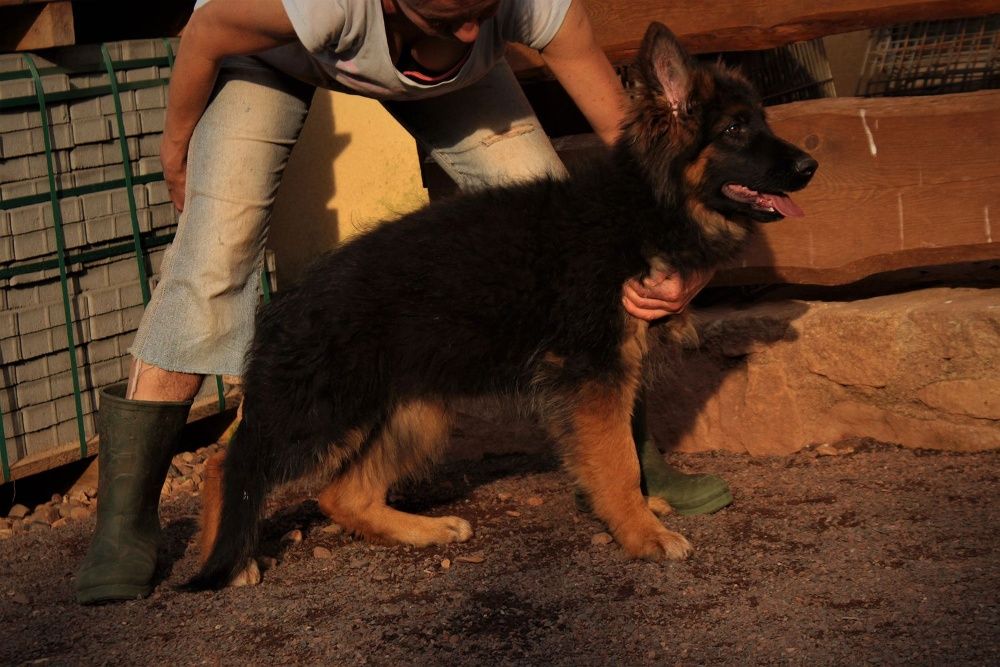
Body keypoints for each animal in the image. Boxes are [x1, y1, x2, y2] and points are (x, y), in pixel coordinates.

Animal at [186, 22, 812, 588]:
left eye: (760, 121)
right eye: (735, 128)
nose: (811, 167)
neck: (642, 206)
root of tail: (287, 299)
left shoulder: (614, 369)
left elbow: (624, 451)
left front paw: (642, 512)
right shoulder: (595, 374)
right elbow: (617, 459)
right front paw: (641, 534)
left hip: (414, 412)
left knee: (342, 494)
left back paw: (424, 530)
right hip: (323, 413)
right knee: (229, 462)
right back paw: (229, 560)